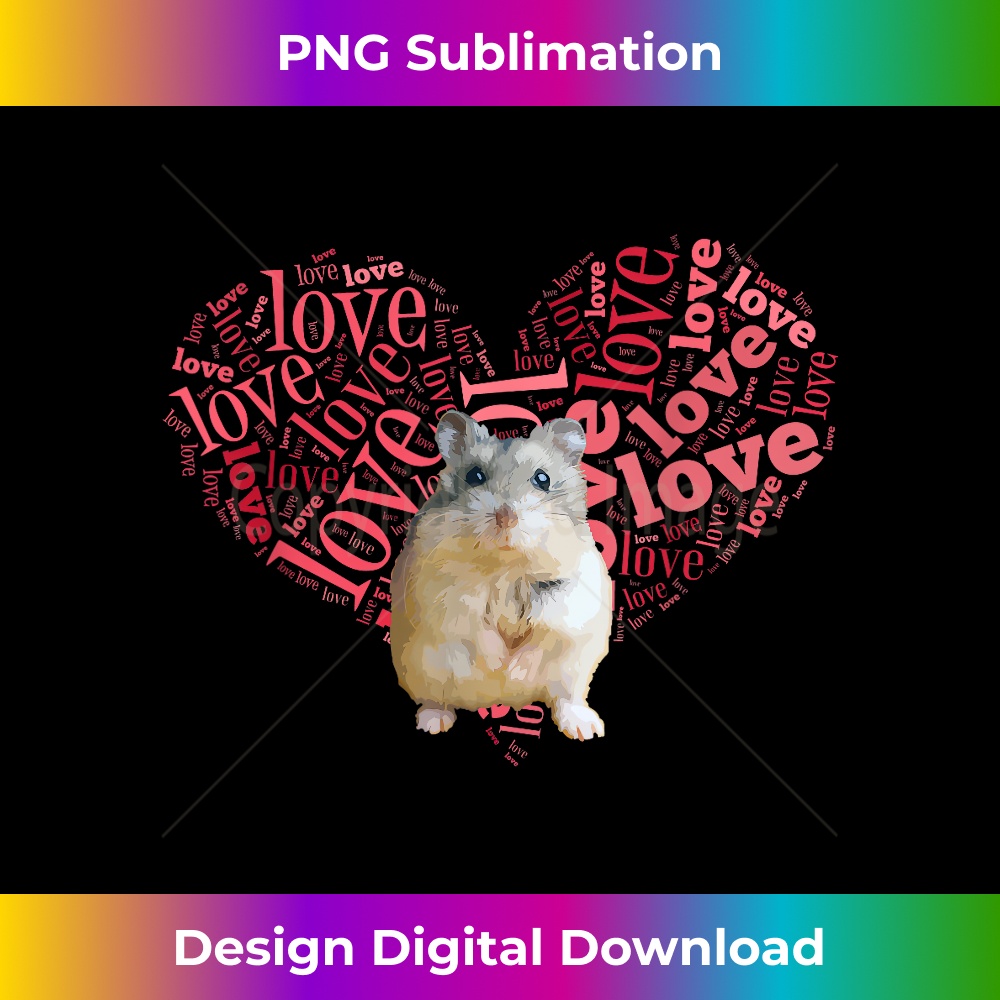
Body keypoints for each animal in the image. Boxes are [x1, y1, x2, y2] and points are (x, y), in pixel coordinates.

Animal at [390, 411, 613, 739]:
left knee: (567, 699)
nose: (505, 517)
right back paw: (433, 723)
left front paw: (514, 672)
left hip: (575, 670)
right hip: (421, 668)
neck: (507, 564)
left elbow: (544, 634)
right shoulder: (447, 599)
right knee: (435, 699)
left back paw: (586, 728)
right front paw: (498, 665)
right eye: (474, 476)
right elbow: (476, 629)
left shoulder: (570, 602)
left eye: (543, 479)